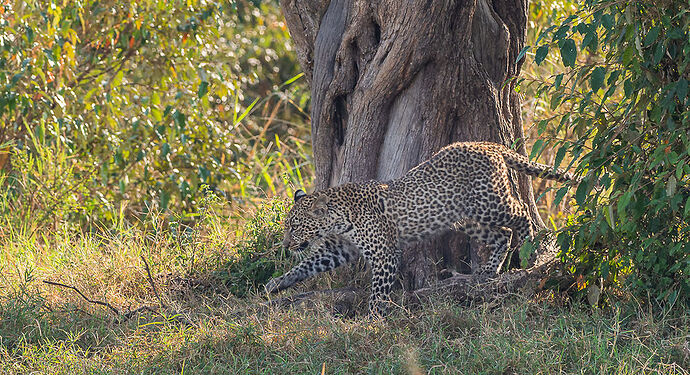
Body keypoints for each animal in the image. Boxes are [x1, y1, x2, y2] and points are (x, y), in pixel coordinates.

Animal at [264, 142, 576, 318]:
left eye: (295, 227)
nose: (285, 245)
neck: (340, 216)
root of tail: (488, 144)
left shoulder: (385, 254)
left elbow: (378, 291)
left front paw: (372, 321)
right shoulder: (342, 248)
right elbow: (308, 264)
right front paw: (277, 284)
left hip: (489, 201)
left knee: (521, 214)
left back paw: (528, 251)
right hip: (464, 216)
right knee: (502, 233)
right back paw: (488, 271)